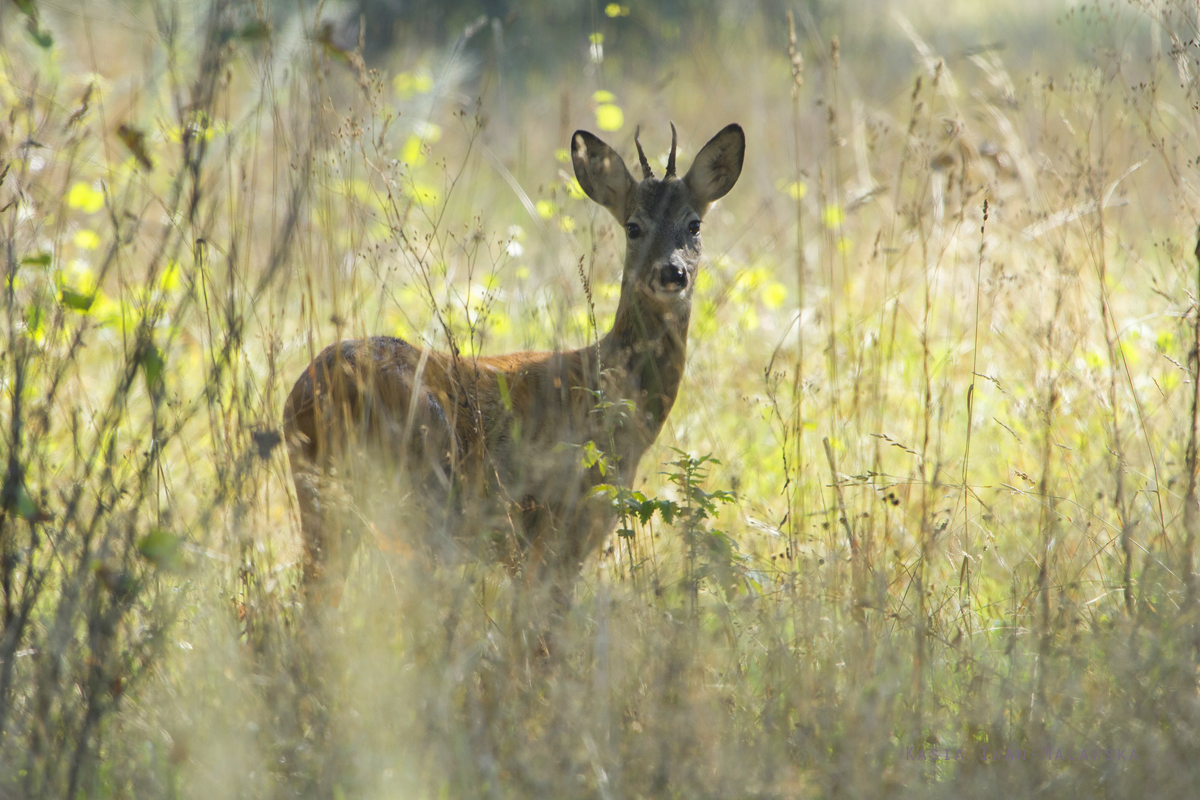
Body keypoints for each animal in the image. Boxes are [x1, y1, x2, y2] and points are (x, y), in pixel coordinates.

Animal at [284, 122, 744, 604]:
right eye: (633, 226)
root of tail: (317, 387)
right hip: (423, 485)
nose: (672, 272)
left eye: (694, 224)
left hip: (322, 496)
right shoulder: (563, 520)